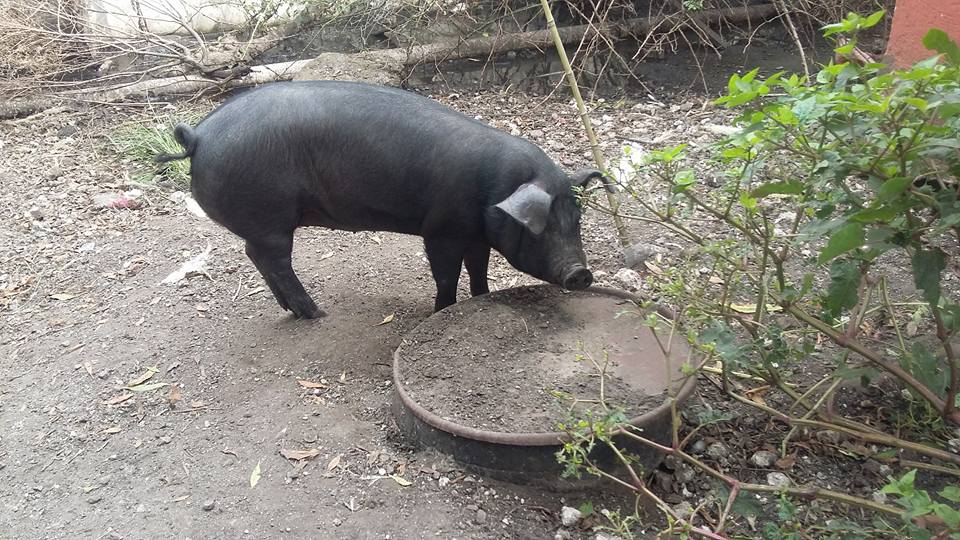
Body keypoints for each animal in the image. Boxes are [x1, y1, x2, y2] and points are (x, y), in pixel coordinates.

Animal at [157, 80, 608, 316]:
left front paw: (482, 298)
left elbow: (478, 269)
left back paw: (293, 310)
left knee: (256, 256)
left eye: (576, 221)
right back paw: (316, 313)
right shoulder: (441, 231)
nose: (582, 274)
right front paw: (442, 311)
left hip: (263, 223)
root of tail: (199, 136)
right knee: (274, 260)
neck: (494, 190)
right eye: (540, 227)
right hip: (271, 218)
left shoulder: (476, 233)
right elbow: (445, 274)